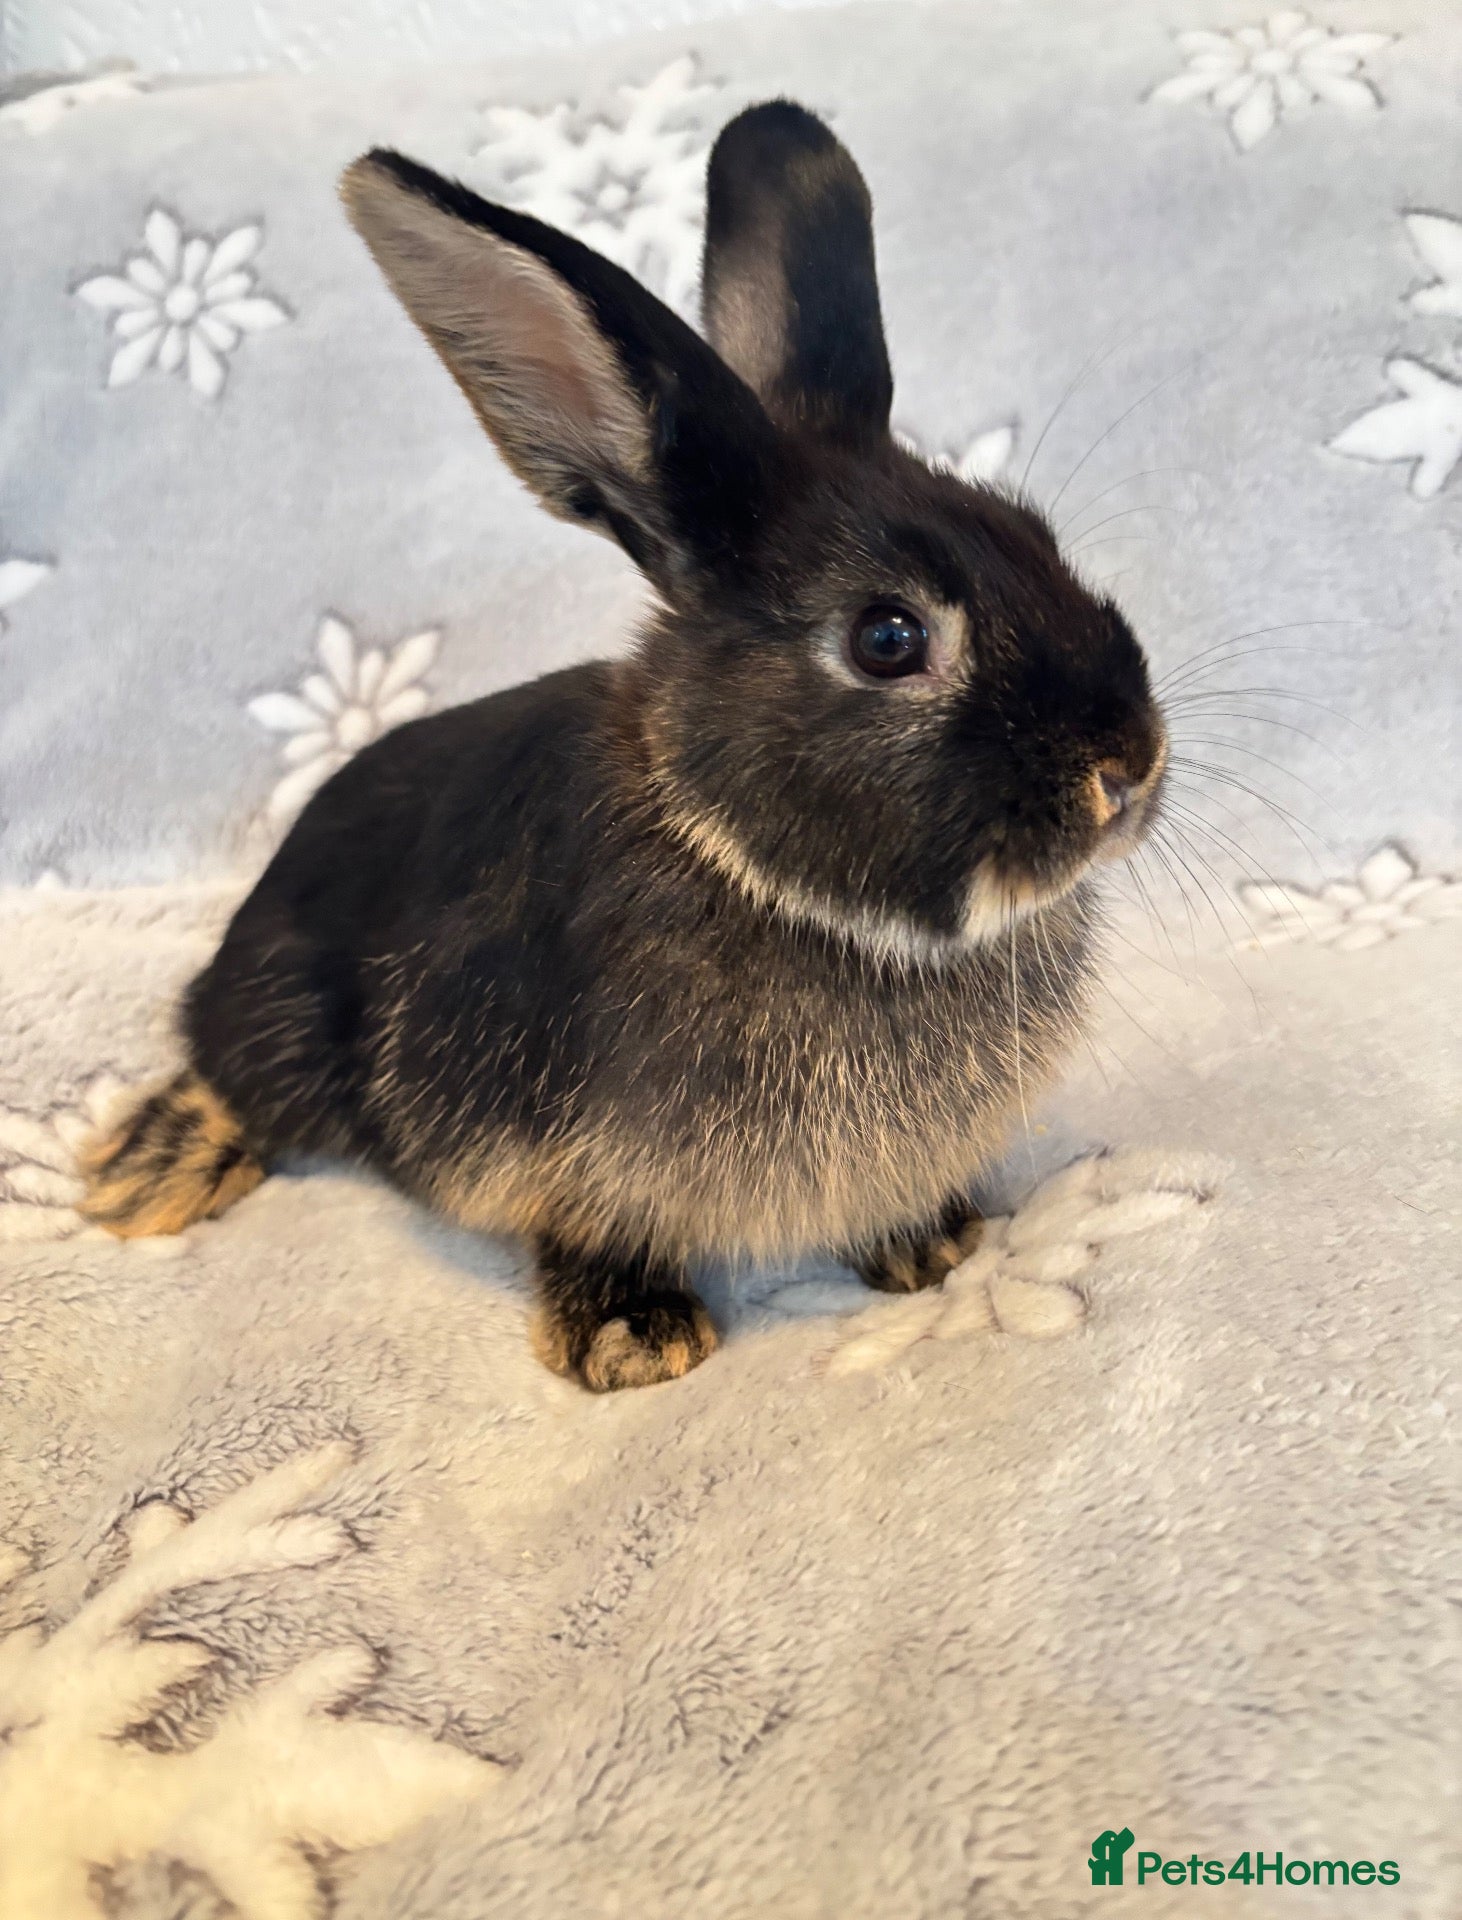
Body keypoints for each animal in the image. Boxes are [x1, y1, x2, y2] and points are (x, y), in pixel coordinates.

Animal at [82, 101, 1167, 1390]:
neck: (763, 877)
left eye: (1033, 535)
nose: (1127, 768)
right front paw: (633, 1340)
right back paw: (141, 1173)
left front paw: (935, 1246)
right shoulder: (537, 1133)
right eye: (888, 638)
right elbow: (584, 1227)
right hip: (278, 1011)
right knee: (230, 1073)